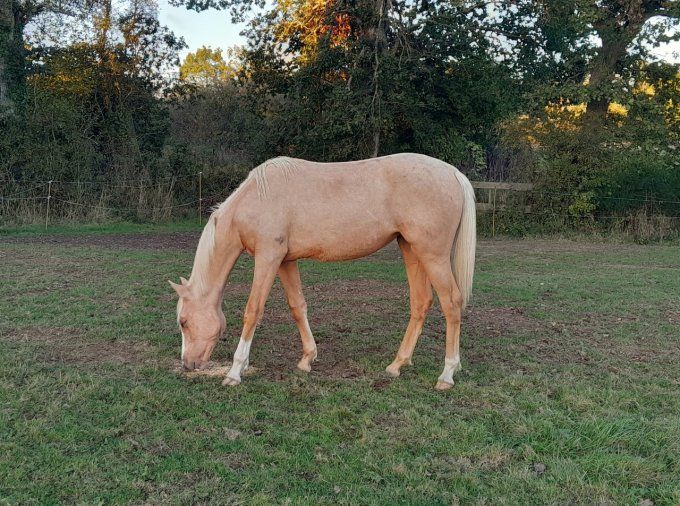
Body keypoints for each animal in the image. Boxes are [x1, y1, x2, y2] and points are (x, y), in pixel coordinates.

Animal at [170, 152, 478, 390]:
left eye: (183, 322)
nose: (187, 365)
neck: (258, 197)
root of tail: (452, 173)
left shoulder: (268, 258)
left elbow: (253, 310)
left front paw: (235, 371)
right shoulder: (285, 261)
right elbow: (298, 306)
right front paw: (307, 358)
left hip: (433, 256)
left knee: (451, 303)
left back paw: (447, 375)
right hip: (411, 250)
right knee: (421, 303)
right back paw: (397, 365)